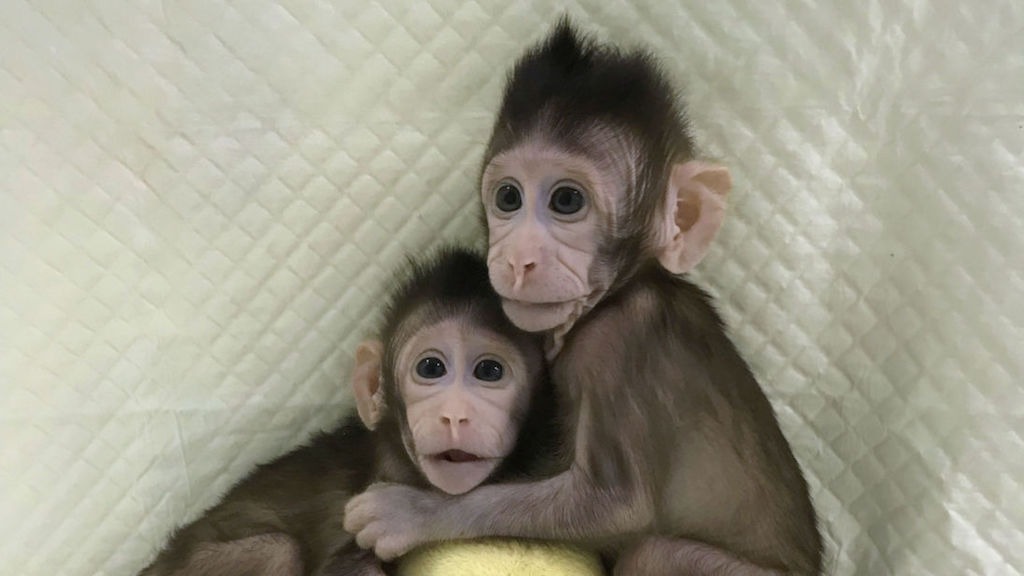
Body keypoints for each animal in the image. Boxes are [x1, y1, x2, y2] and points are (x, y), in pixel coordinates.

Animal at [344, 19, 824, 575]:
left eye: (567, 201)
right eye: (508, 197)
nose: (518, 259)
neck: (621, 292)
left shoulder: (615, 345)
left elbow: (614, 503)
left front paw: (411, 513)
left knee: (652, 550)